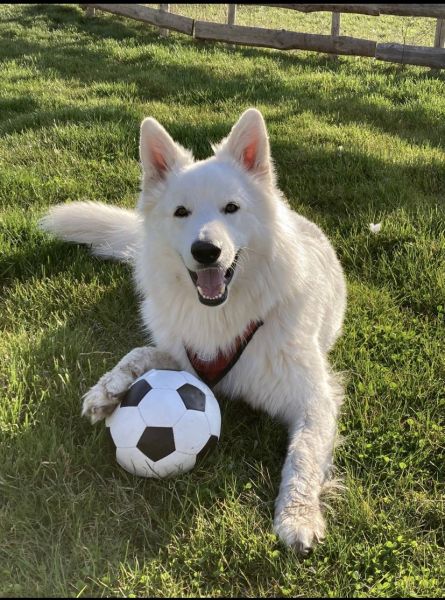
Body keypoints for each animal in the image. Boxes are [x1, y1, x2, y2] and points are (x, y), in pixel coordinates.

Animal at [39, 108, 347, 553]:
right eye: (181, 212)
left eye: (231, 208)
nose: (206, 252)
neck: (224, 314)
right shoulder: (185, 354)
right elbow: (139, 353)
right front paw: (108, 389)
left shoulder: (314, 399)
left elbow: (303, 455)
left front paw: (298, 516)